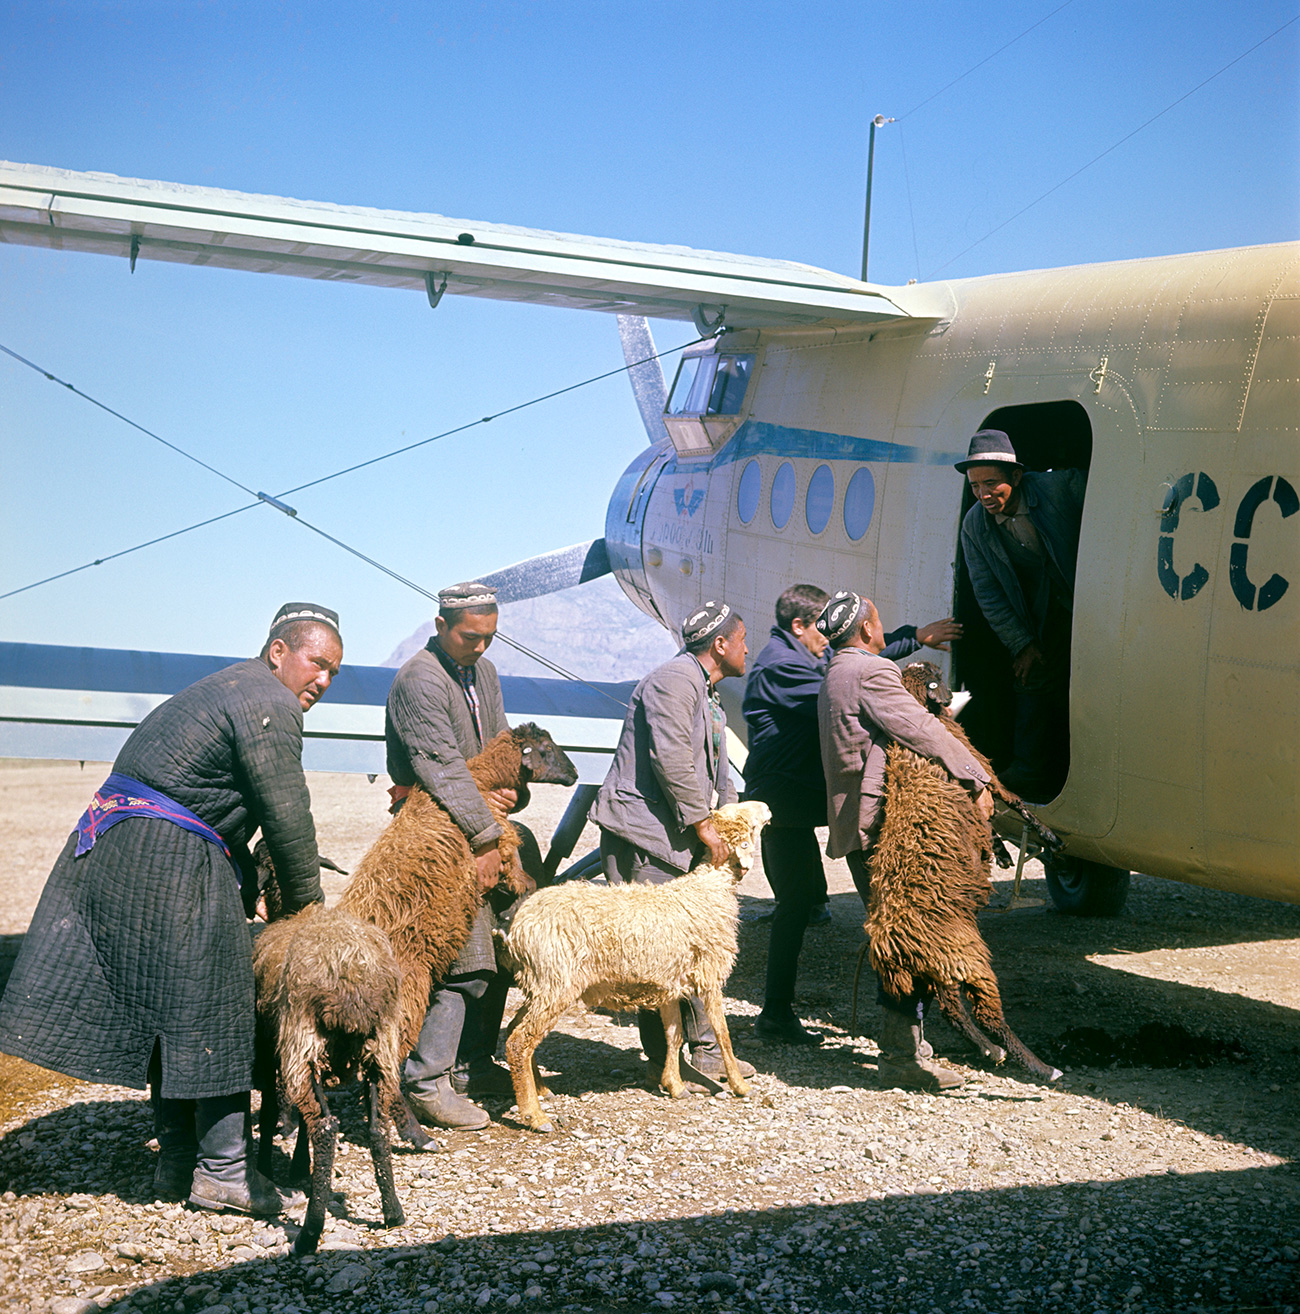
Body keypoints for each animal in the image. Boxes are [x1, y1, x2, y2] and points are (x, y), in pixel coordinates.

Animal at [499, 793, 767, 1135]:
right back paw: (535, 1115)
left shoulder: (669, 982)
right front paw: (739, 1086)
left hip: (542, 984)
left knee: (514, 1029)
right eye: (750, 822)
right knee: (519, 1041)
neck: (707, 890)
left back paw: (541, 1089)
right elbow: (722, 1033)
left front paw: (674, 1085)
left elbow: (673, 1034)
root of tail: (516, 929)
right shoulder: (709, 974)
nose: (768, 807)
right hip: (555, 982)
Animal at [867, 662, 1062, 1082]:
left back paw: (990, 1050)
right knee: (987, 1013)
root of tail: (891, 944)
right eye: (938, 676)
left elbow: (991, 823)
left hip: (937, 968)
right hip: (965, 956)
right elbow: (1014, 803)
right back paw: (1040, 1067)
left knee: (952, 1011)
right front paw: (1051, 839)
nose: (953, 694)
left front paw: (1002, 854)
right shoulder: (983, 770)